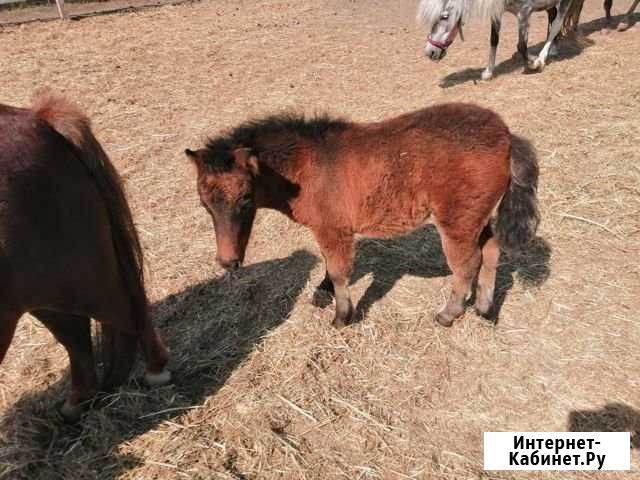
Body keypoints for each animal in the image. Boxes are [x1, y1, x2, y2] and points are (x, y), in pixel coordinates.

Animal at [0, 92, 170, 422]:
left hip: (77, 277)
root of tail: (38, 119)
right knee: (75, 335)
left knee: (125, 311)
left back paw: (156, 370)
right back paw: (77, 403)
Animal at [185, 104, 540, 330]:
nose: (228, 262)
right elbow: (328, 264)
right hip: (475, 218)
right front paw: (323, 291)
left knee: (467, 264)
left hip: (456, 222)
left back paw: (448, 314)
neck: (306, 166)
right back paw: (485, 309)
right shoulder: (328, 231)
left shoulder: (334, 230)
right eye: (204, 204)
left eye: (246, 200)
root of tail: (506, 135)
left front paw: (342, 316)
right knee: (492, 249)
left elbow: (340, 271)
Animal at [418, 0, 584, 79]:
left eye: (444, 16)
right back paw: (553, 49)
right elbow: (494, 41)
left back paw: (543, 57)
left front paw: (534, 63)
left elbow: (521, 45)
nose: (430, 52)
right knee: (553, 16)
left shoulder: (524, 13)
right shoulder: (497, 13)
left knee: (557, 22)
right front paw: (488, 72)